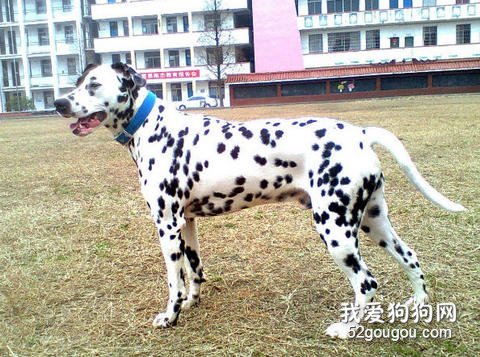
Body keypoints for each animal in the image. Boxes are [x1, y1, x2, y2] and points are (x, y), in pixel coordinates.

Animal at [53, 62, 464, 338]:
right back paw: (416, 304)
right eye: (77, 83)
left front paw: (170, 316)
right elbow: (195, 271)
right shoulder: (187, 224)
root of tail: (361, 133)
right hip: (372, 222)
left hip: (336, 231)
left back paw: (346, 329)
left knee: (367, 283)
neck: (153, 125)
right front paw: (192, 302)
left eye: (93, 84)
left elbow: (173, 280)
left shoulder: (167, 226)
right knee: (411, 258)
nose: (58, 103)